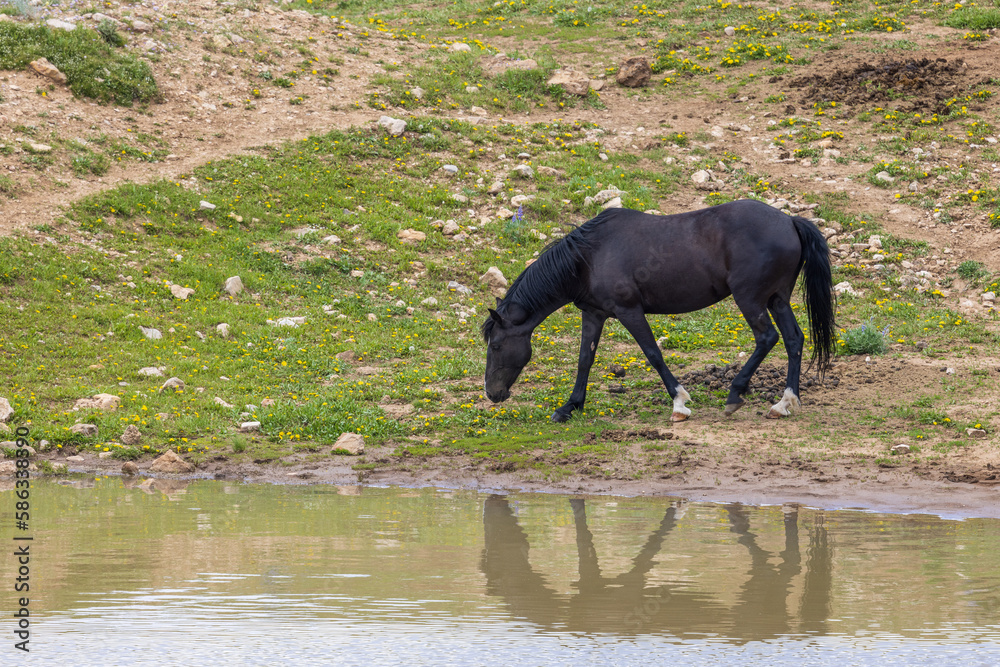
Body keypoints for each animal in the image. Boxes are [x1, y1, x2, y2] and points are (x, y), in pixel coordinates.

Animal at [481, 199, 835, 422]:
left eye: (496, 346)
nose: (493, 394)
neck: (590, 257)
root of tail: (789, 221)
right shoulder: (593, 313)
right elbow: (584, 359)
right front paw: (569, 407)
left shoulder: (629, 311)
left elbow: (653, 353)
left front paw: (679, 403)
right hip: (777, 299)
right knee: (793, 339)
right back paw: (784, 403)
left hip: (750, 299)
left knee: (767, 338)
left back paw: (735, 394)